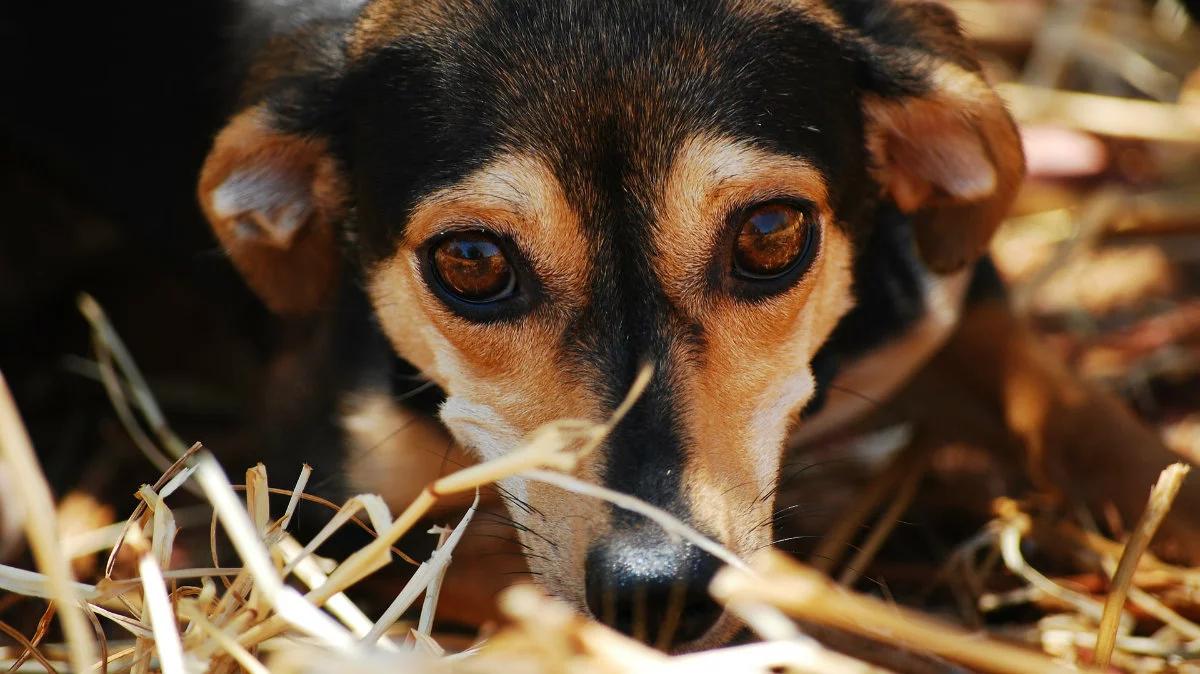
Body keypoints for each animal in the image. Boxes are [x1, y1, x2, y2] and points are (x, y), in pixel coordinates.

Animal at [196, 0, 1200, 652]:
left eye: (770, 233)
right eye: (472, 261)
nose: (659, 592)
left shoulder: (943, 305)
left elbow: (1090, 421)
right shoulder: (334, 523)